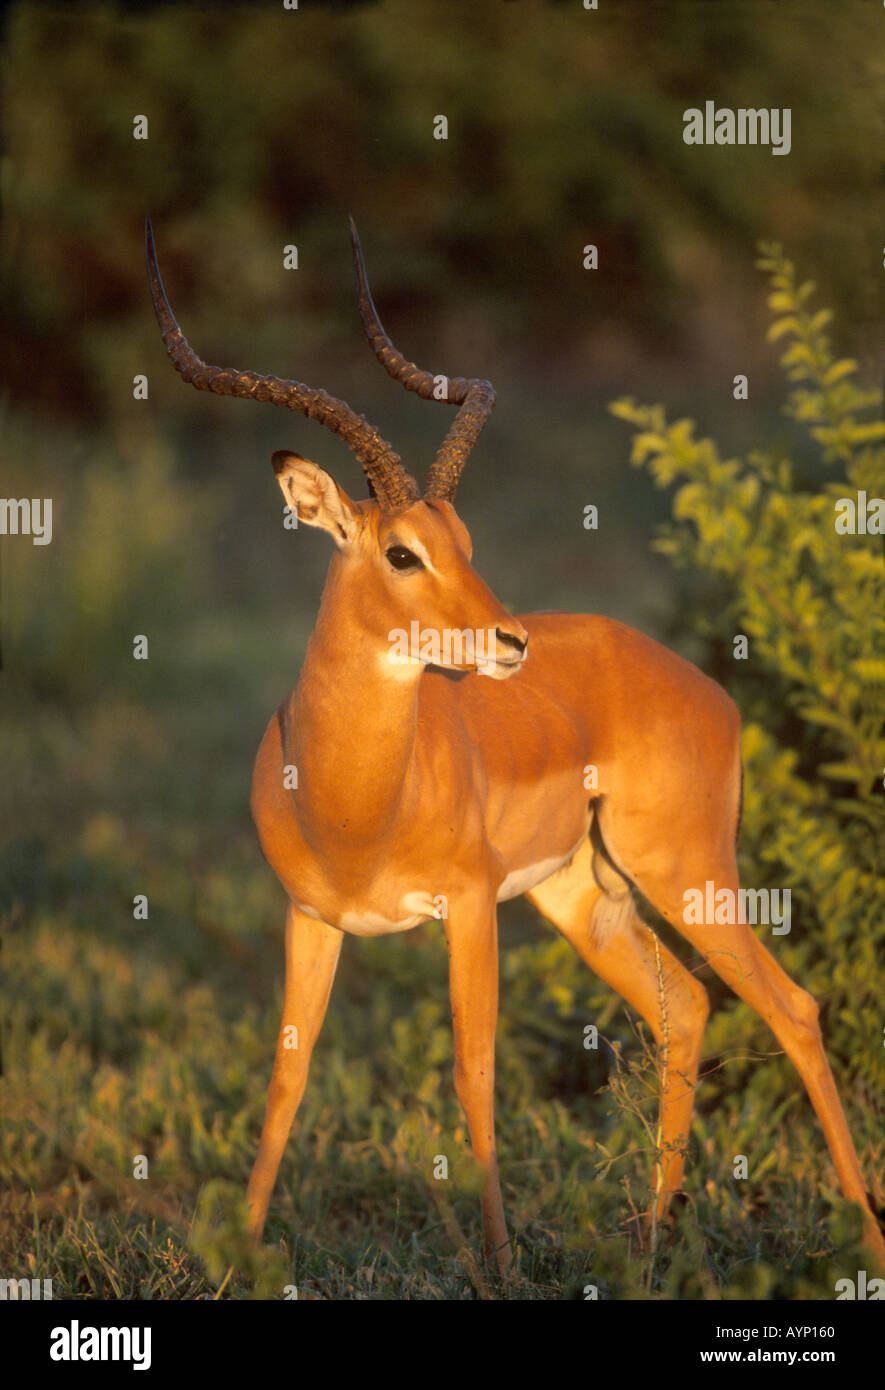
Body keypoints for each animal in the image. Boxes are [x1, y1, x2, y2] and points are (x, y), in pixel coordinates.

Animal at [146, 217, 885, 1276]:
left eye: (463, 537)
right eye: (402, 551)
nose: (509, 641)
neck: (350, 801)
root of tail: (701, 683)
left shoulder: (466, 908)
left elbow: (474, 1071)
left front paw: (495, 1266)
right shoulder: (309, 917)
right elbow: (286, 1079)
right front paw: (239, 1261)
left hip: (680, 870)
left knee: (791, 1006)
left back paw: (858, 1234)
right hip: (583, 893)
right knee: (686, 1006)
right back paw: (650, 1244)